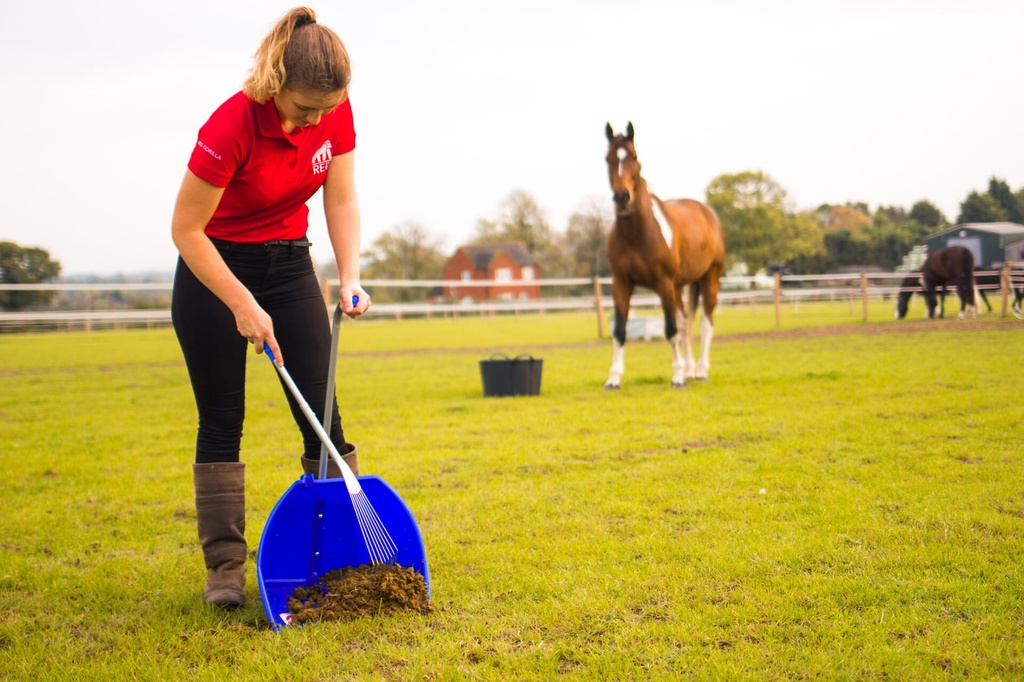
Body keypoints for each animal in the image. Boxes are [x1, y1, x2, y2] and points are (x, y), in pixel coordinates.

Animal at [602, 122, 724, 387]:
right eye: (607, 158)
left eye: (634, 157)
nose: (622, 197)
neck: (637, 234)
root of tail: (707, 212)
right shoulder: (621, 284)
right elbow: (620, 331)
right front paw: (613, 378)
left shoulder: (664, 284)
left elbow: (671, 331)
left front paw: (677, 378)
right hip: (679, 288)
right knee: (686, 323)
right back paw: (690, 370)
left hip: (709, 279)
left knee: (705, 325)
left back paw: (700, 371)